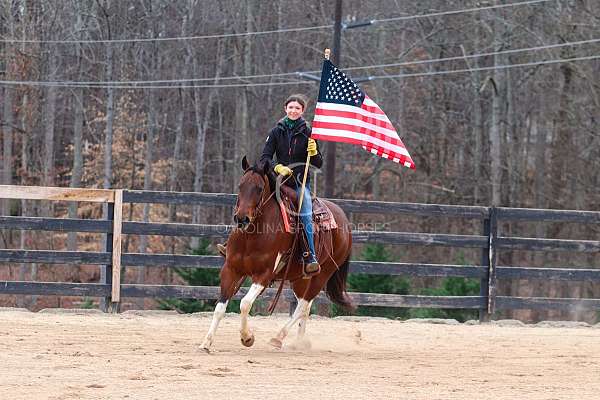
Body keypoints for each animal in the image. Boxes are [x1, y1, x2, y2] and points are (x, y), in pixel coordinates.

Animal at [199, 156, 354, 354]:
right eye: (240, 186)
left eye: (259, 188)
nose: (242, 219)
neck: (251, 236)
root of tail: (344, 220)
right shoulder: (230, 270)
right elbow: (219, 308)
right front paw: (206, 343)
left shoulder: (264, 275)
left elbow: (245, 304)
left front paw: (247, 338)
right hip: (300, 278)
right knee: (305, 306)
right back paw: (299, 342)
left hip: (322, 274)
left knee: (302, 306)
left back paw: (278, 338)